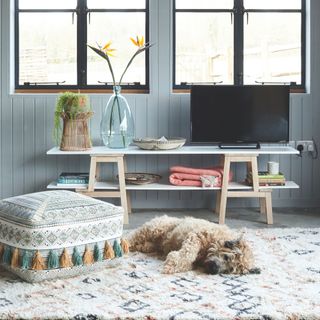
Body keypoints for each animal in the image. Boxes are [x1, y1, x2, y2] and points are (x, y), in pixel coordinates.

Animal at [129, 216, 260, 276]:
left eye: (229, 270)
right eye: (227, 257)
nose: (214, 270)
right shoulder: (196, 236)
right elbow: (188, 253)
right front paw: (172, 265)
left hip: (152, 243)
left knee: (143, 245)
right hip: (154, 229)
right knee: (133, 236)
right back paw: (125, 244)